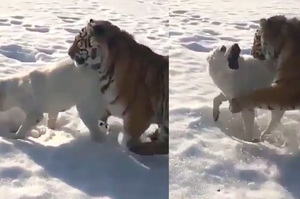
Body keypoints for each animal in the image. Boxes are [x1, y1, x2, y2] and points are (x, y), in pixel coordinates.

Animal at [67, 19, 169, 155]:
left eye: (78, 42)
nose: (68, 53)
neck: (103, 72)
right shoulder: (104, 106)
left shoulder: (138, 114)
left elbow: (127, 140)